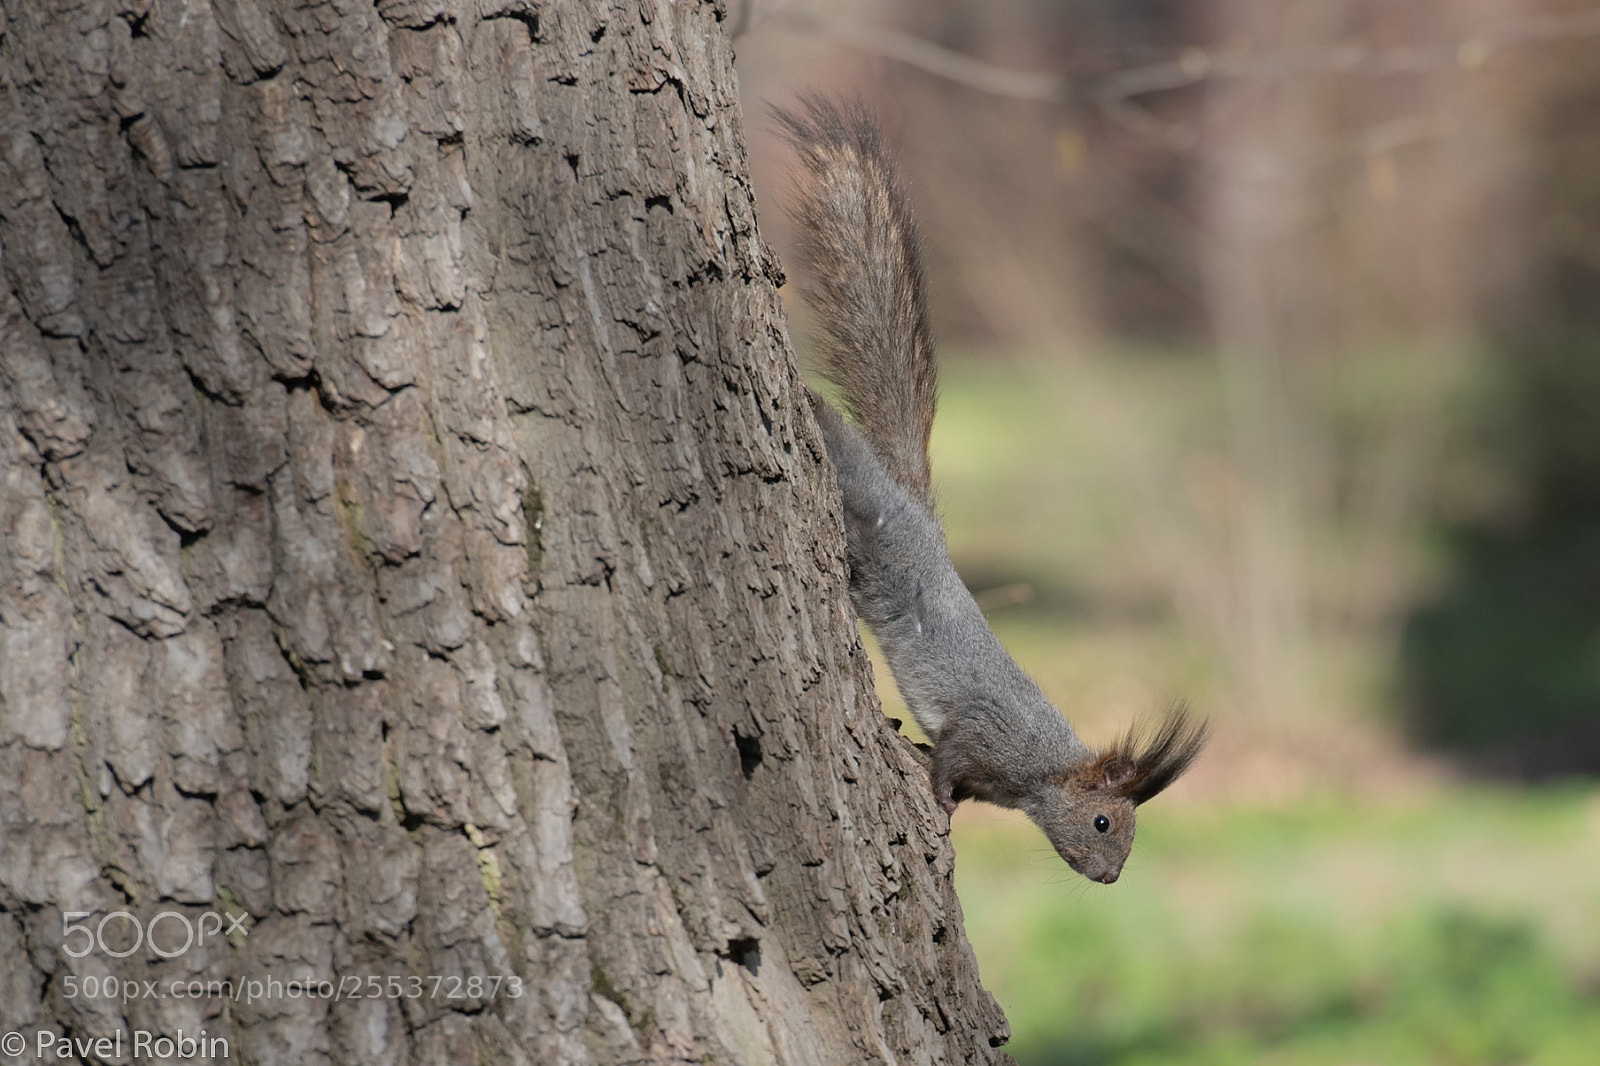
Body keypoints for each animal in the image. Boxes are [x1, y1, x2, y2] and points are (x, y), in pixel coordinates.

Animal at [777, 97, 1207, 884]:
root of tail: (913, 505)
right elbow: (949, 762)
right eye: (1103, 821)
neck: (1040, 771)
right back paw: (815, 411)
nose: (1110, 878)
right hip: (874, 530)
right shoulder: (981, 733)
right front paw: (939, 804)